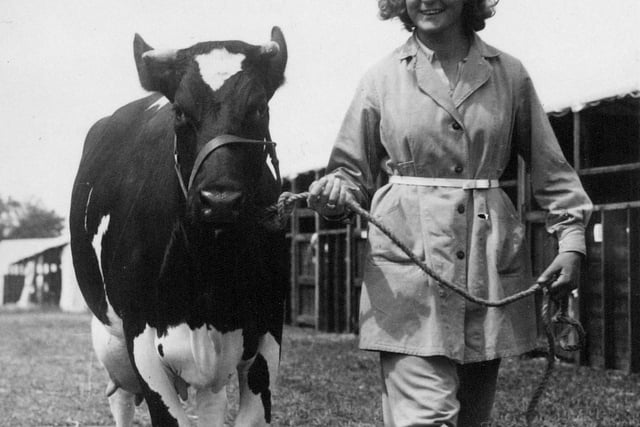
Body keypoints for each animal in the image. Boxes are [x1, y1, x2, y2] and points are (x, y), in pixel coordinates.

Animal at [70, 27, 288, 427]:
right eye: (180, 112)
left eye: (259, 107)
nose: (219, 200)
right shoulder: (139, 338)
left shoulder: (269, 332)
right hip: (111, 341)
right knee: (121, 398)